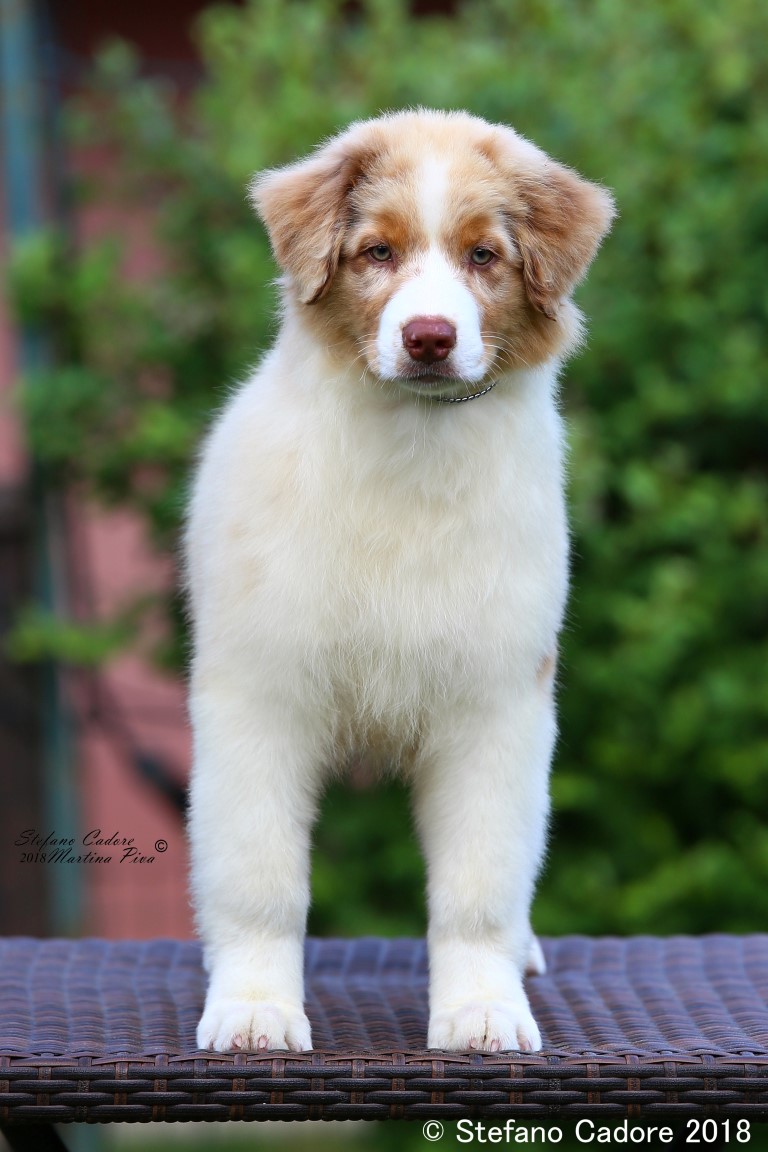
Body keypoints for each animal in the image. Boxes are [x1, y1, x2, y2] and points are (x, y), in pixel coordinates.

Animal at [186, 108, 612, 1055]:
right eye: (377, 252)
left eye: (483, 256)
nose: (429, 338)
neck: (412, 449)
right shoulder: (258, 696)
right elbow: (260, 878)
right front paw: (255, 1009)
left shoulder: (497, 705)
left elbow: (479, 887)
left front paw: (481, 1009)